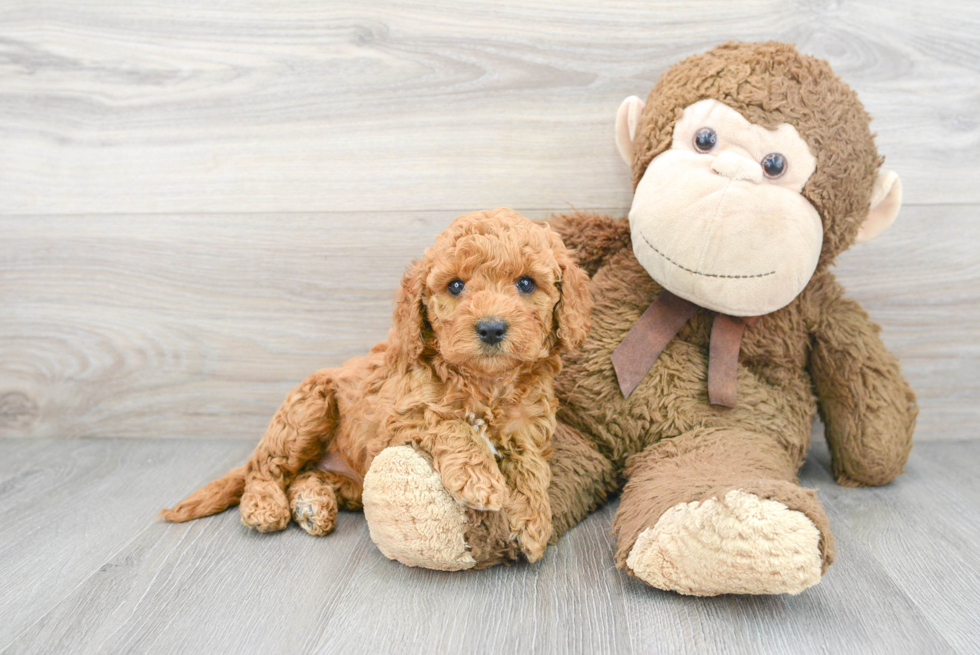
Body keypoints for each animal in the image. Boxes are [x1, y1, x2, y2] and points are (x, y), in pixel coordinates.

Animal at [161, 208, 588, 560]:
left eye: (526, 284)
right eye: (455, 286)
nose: (491, 328)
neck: (484, 383)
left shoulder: (527, 429)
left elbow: (530, 469)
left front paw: (533, 522)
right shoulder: (397, 416)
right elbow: (451, 425)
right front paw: (480, 479)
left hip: (349, 476)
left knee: (305, 475)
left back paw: (312, 504)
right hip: (308, 407)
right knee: (265, 468)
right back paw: (264, 505)